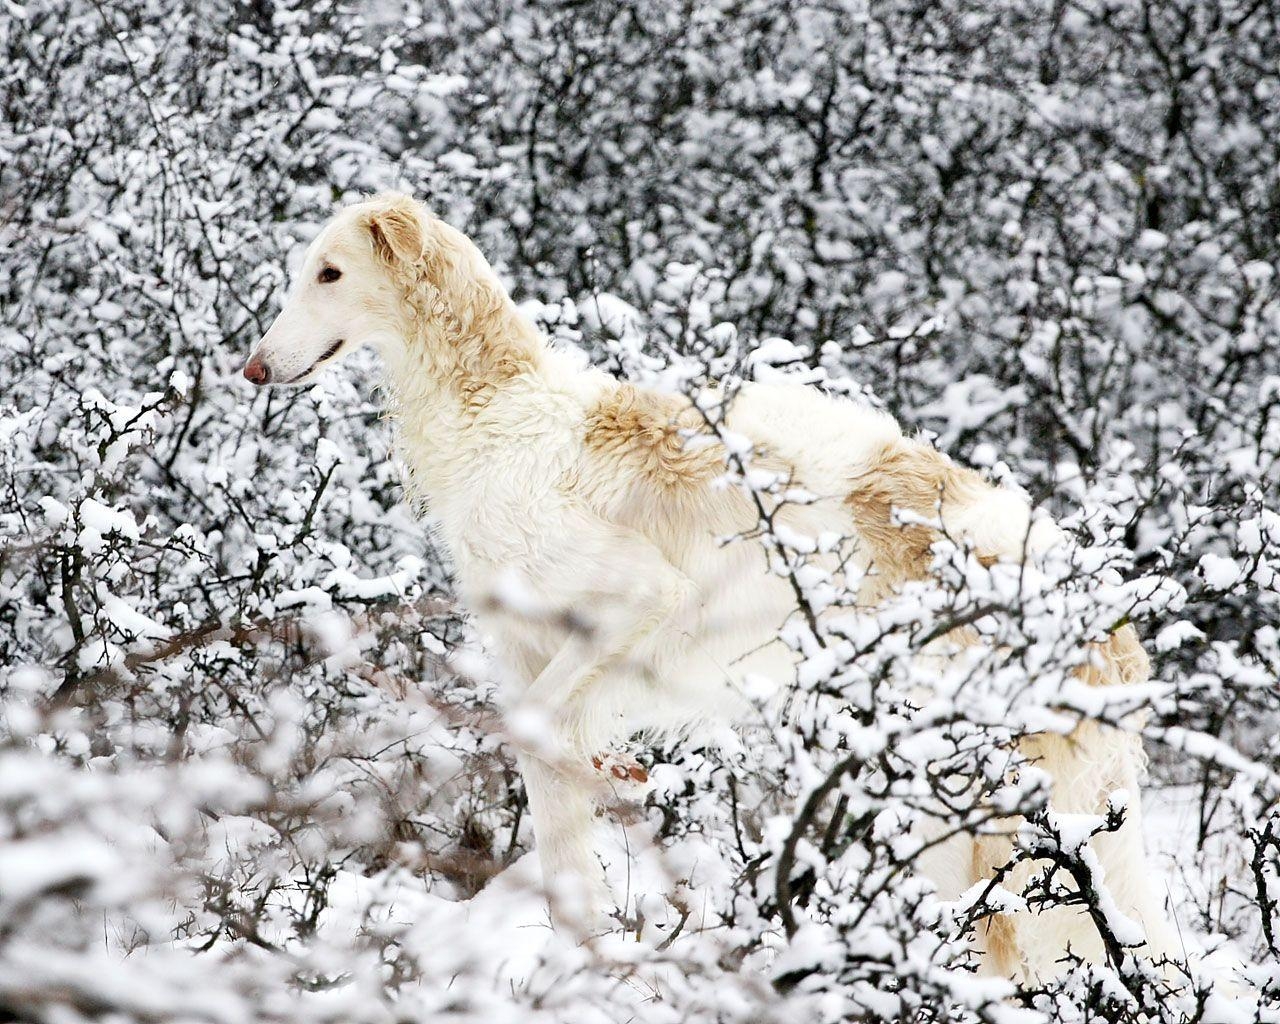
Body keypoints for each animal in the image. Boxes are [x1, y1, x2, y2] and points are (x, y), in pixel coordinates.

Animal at [244, 194, 1172, 983]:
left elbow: (540, 730)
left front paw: (617, 776)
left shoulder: (633, 597)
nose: (253, 368)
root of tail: (1113, 630)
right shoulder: (527, 650)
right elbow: (552, 807)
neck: (498, 415)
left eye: (329, 273)